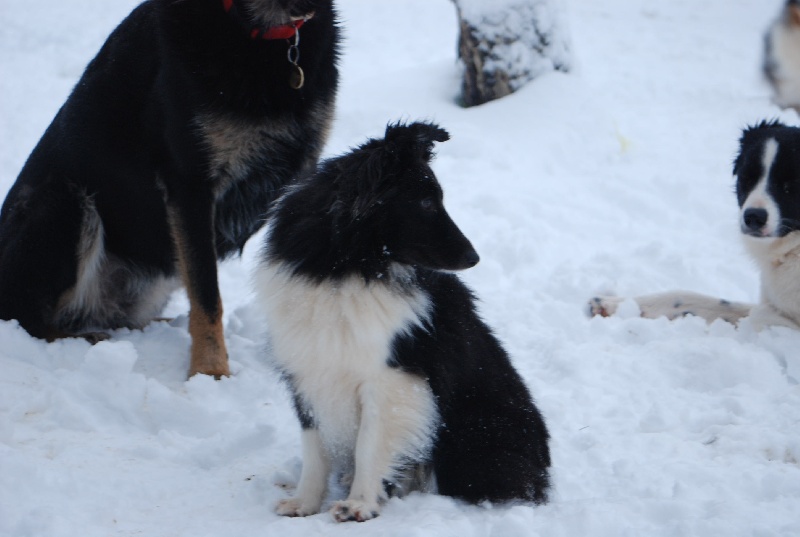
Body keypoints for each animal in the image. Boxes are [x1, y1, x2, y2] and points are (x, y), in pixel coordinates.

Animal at [0, 0, 340, 376]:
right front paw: (211, 371)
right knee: (27, 318)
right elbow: (207, 295)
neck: (263, 31)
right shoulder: (191, 184)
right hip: (64, 203)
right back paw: (87, 339)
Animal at [255, 120, 552, 520]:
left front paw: (359, 505)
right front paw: (304, 504)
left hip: (474, 435)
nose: (474, 258)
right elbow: (314, 446)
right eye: (425, 202)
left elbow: (368, 444)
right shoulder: (308, 369)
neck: (346, 269)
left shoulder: (391, 378)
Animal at [588, 122, 800, 330]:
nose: (753, 217)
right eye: (747, 177)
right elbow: (686, 297)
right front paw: (614, 304)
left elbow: (760, 315)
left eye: (790, 184)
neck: (792, 250)